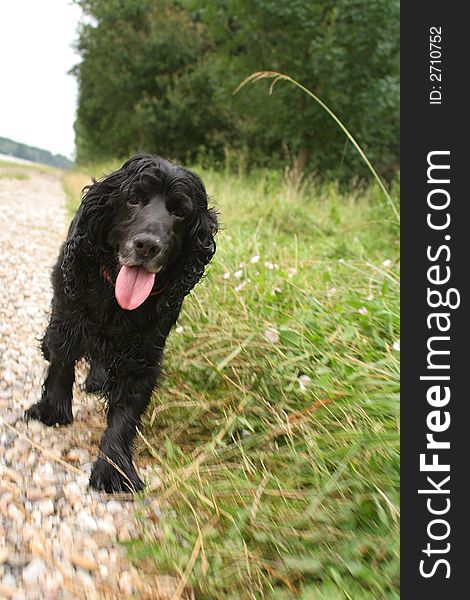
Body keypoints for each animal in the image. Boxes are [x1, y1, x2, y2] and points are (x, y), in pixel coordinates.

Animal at [24, 154, 218, 492]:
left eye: (180, 212)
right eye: (133, 199)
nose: (147, 245)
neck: (115, 296)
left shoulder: (142, 355)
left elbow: (126, 413)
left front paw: (114, 467)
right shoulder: (68, 318)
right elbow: (61, 362)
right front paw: (52, 409)